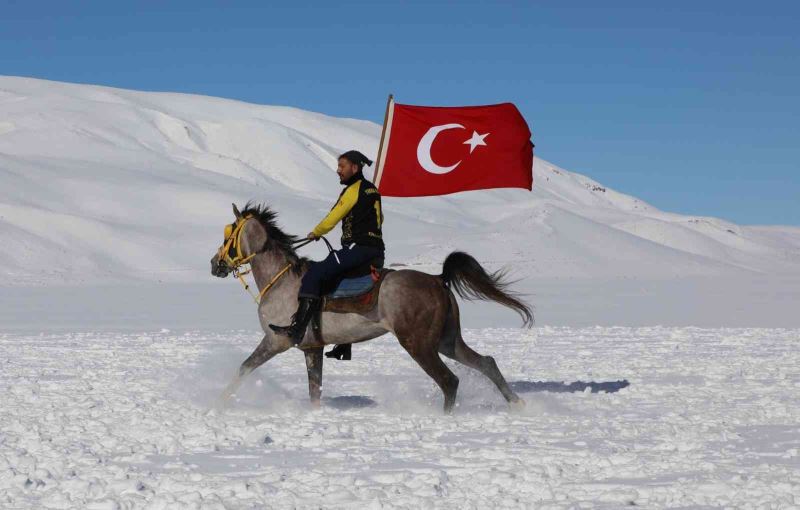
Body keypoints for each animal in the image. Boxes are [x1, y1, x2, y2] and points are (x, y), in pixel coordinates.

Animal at [211, 201, 532, 412]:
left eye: (228, 234)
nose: (215, 264)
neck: (281, 280)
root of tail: (437, 280)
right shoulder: (313, 348)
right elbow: (315, 390)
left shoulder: (277, 340)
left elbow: (245, 367)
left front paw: (218, 403)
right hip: (447, 340)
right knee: (486, 363)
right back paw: (517, 403)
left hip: (418, 344)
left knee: (449, 380)